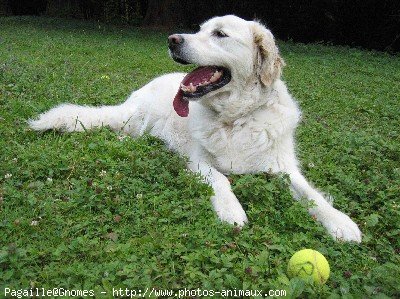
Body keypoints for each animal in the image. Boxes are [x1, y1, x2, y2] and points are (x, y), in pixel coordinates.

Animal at [28, 15, 362, 243]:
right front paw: (231, 210)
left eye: (220, 34)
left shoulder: (283, 167)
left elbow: (311, 194)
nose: (172, 39)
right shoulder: (199, 161)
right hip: (137, 119)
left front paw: (340, 222)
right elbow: (221, 180)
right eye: (199, 30)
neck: (235, 118)